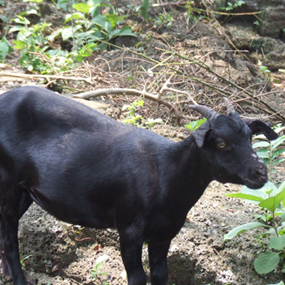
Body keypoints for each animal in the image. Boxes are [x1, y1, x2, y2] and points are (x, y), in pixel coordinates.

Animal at [0, 86, 276, 284]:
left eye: (250, 137)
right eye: (220, 143)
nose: (260, 172)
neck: (166, 174)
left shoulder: (164, 232)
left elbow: (160, 274)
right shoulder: (129, 229)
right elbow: (137, 277)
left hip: (23, 191)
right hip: (8, 183)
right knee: (10, 239)